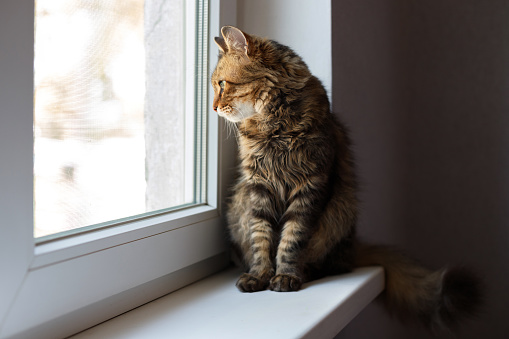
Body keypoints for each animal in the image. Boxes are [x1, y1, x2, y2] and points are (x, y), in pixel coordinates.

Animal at [210, 26, 480, 332]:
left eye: (222, 84)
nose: (213, 108)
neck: (272, 125)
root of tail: (351, 248)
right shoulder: (257, 187)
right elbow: (261, 239)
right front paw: (260, 275)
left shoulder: (310, 186)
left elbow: (291, 240)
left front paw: (286, 275)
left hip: (340, 211)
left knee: (328, 263)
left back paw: (309, 271)